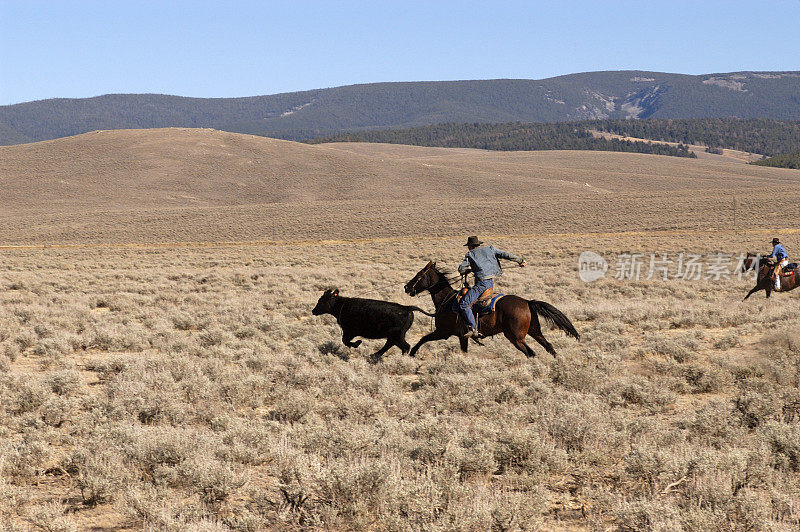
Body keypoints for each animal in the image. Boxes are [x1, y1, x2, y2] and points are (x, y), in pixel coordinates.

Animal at [404, 262, 580, 358]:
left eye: (419, 275)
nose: (406, 287)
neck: (448, 301)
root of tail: (527, 302)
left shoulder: (443, 332)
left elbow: (423, 339)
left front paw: (410, 353)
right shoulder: (462, 337)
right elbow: (464, 351)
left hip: (516, 337)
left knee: (530, 353)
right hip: (535, 331)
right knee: (549, 347)